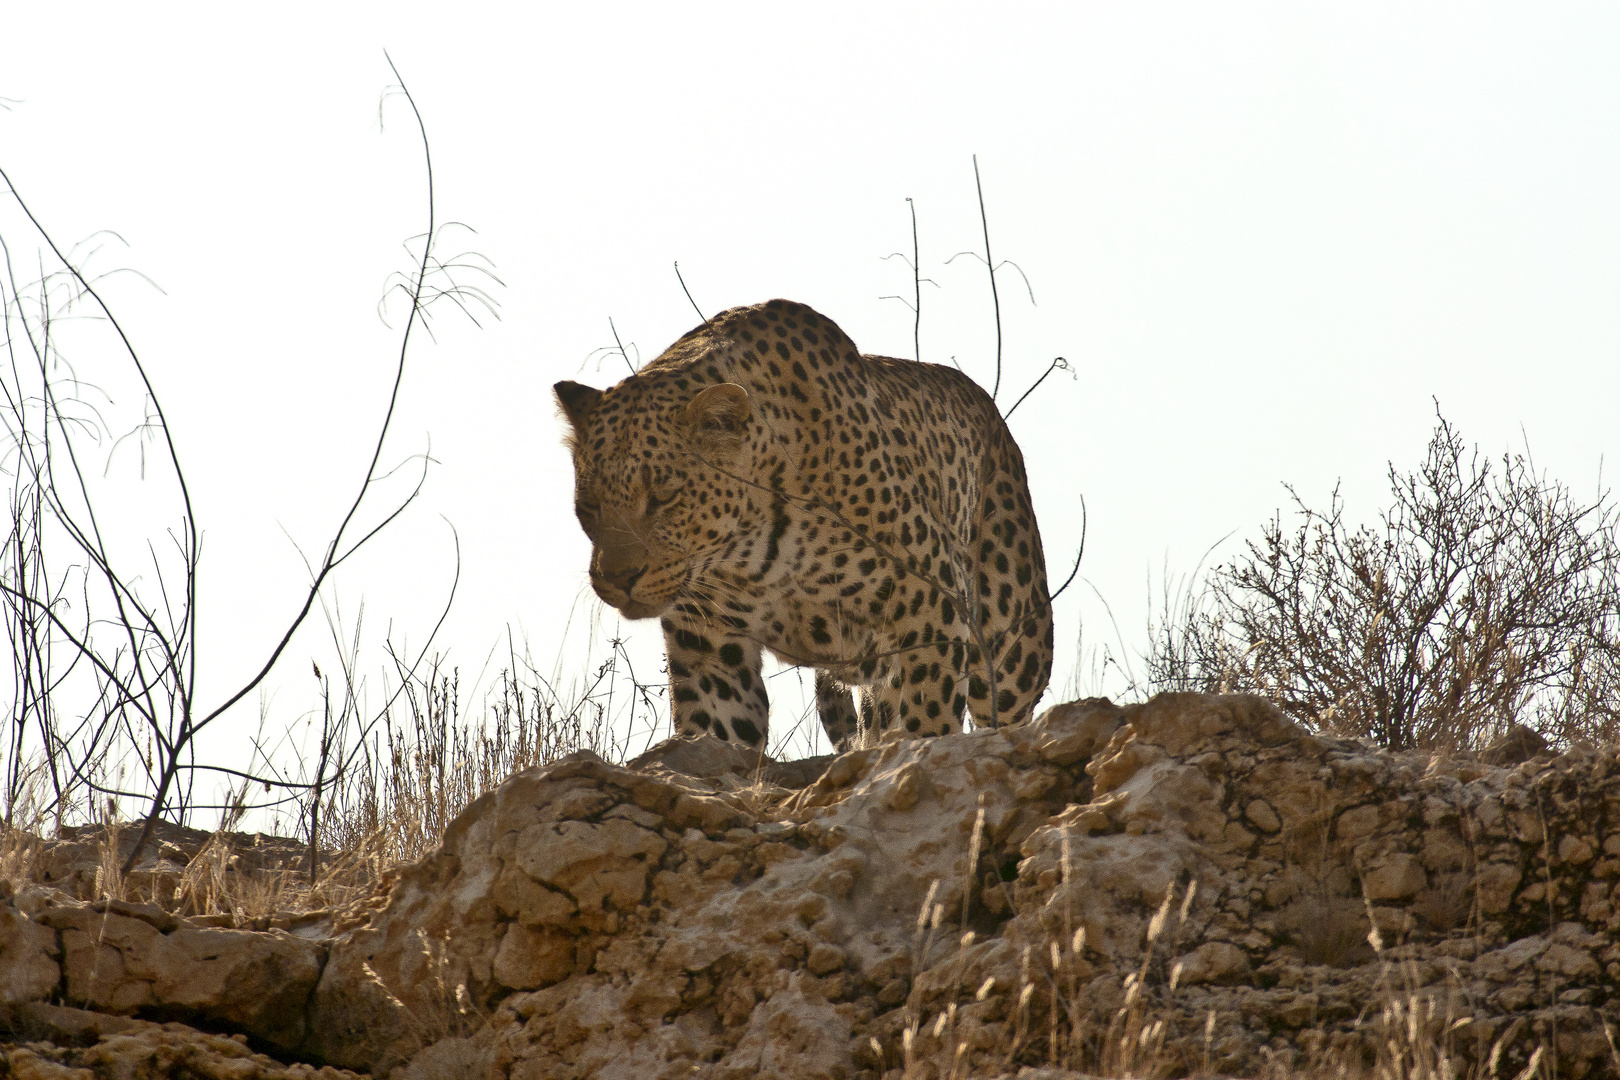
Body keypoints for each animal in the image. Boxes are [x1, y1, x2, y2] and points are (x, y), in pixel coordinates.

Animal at [557, 296, 1056, 751]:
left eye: (664, 496)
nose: (618, 579)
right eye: (589, 506)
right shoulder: (708, 643)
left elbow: (929, 716)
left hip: (1014, 646)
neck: (753, 554)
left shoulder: (931, 609)